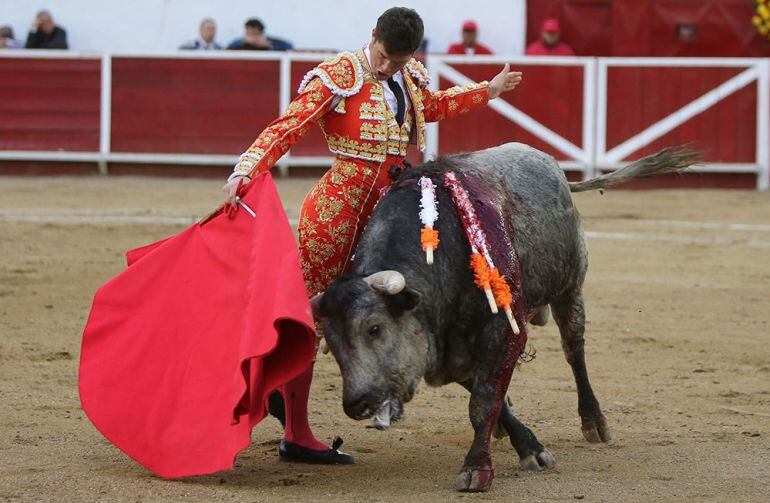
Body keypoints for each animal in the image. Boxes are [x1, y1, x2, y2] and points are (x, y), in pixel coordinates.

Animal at [310, 142, 696, 492]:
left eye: (374, 328)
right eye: (332, 344)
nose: (356, 403)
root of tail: (552, 166)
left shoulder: (504, 329)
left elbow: (482, 400)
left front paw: (477, 470)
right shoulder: (452, 348)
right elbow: (487, 392)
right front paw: (526, 444)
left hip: (570, 289)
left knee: (574, 351)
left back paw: (594, 422)